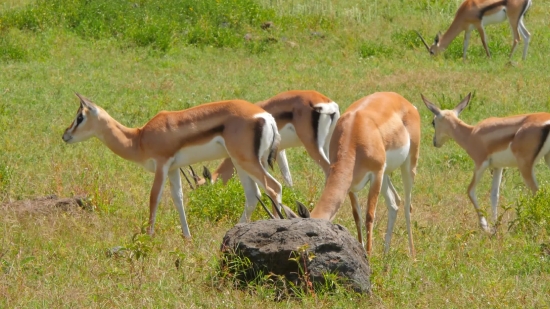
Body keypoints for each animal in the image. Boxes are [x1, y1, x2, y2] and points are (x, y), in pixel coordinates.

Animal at [63, 92, 288, 237]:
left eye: (80, 117)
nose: (65, 135)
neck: (138, 138)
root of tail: (266, 116)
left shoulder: (162, 165)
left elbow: (154, 198)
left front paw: (149, 237)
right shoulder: (172, 169)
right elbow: (178, 198)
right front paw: (187, 236)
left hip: (246, 161)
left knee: (274, 187)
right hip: (242, 162)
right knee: (253, 196)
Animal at [272, 92, 422, 256]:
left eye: (310, 234)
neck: (354, 136)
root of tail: (403, 100)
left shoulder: (376, 174)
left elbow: (369, 216)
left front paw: (368, 256)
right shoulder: (350, 185)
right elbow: (357, 215)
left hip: (408, 164)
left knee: (408, 205)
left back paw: (413, 255)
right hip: (385, 175)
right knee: (394, 202)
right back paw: (385, 255)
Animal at [422, 92, 550, 232]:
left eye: (433, 122)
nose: (435, 142)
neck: (471, 134)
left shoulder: (480, 164)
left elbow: (470, 190)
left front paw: (485, 227)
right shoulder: (498, 167)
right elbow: (494, 195)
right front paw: (495, 227)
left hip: (525, 166)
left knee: (537, 191)